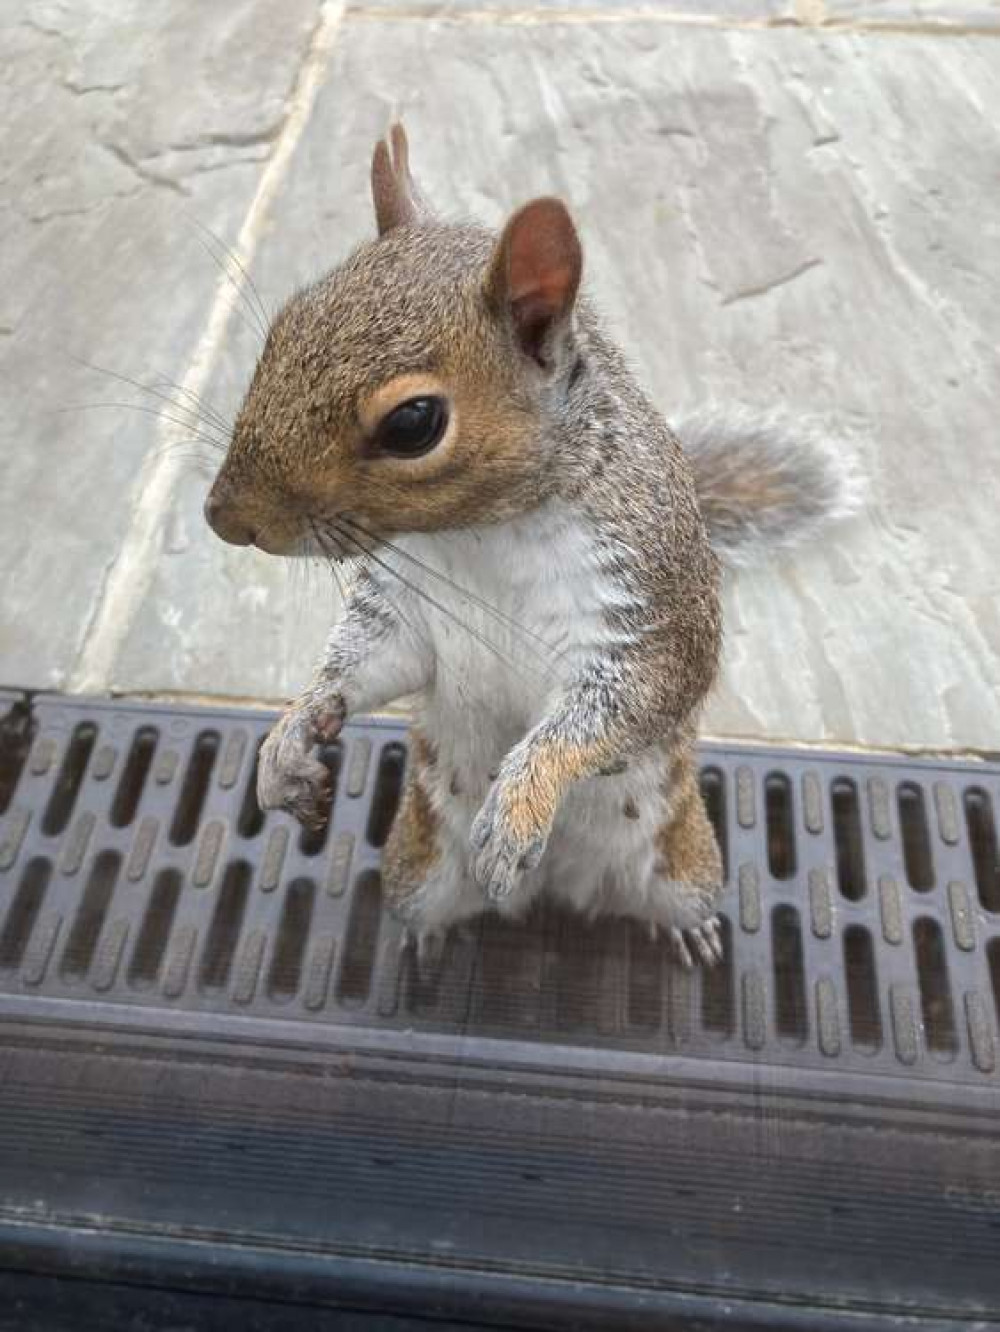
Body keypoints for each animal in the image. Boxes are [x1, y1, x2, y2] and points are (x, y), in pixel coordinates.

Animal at [203, 122, 862, 969]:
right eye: (286, 325)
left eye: (414, 423)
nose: (226, 518)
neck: (481, 534)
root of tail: (564, 894)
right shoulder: (405, 609)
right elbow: (367, 664)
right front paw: (292, 734)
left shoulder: (646, 607)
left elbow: (614, 708)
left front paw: (519, 805)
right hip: (416, 866)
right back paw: (423, 943)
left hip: (685, 863)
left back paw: (690, 930)